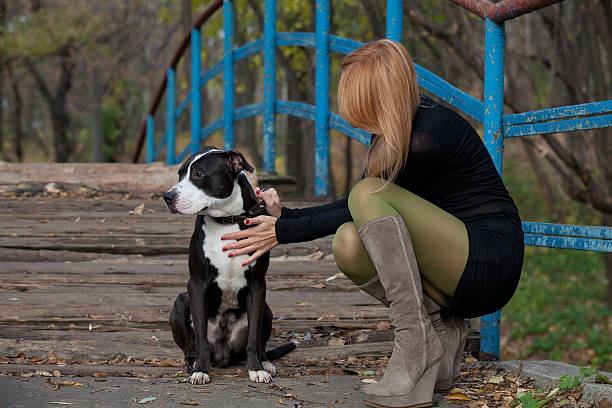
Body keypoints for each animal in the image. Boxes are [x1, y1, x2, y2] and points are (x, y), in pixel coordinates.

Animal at [161, 147, 296, 386]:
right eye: (180, 174)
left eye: (198, 174)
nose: (167, 197)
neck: (227, 220)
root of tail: (224, 354)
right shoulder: (197, 284)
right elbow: (201, 338)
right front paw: (201, 370)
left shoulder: (257, 286)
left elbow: (253, 339)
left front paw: (256, 369)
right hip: (180, 302)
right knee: (190, 347)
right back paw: (192, 363)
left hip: (266, 309)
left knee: (259, 343)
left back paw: (266, 363)